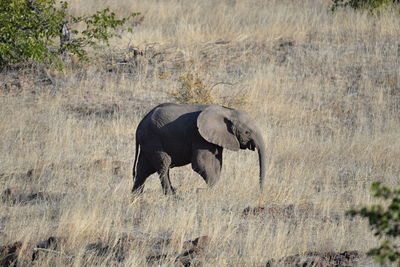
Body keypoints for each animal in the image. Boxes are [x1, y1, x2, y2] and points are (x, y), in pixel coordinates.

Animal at [133, 103, 268, 196]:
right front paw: (206, 191)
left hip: (148, 142)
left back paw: (136, 196)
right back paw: (171, 195)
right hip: (153, 138)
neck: (227, 111)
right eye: (247, 132)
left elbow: (217, 164)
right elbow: (201, 164)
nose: (260, 192)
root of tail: (139, 125)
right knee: (163, 164)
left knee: (143, 170)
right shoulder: (199, 137)